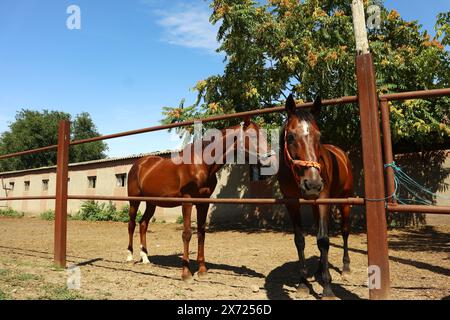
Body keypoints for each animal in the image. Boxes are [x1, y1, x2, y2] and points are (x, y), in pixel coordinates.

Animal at [125, 119, 268, 280]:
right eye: (253, 136)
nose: (269, 156)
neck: (201, 164)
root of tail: (139, 164)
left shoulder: (203, 203)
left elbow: (201, 233)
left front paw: (202, 270)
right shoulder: (187, 201)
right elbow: (187, 234)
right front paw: (186, 273)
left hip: (151, 203)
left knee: (143, 224)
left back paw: (145, 258)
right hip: (134, 201)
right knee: (131, 224)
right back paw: (130, 257)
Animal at [278, 94, 356, 298]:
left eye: (319, 136)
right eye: (290, 136)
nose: (313, 184)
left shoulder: (323, 201)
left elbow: (323, 240)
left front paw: (328, 289)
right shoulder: (292, 203)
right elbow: (300, 240)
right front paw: (303, 283)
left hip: (344, 201)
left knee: (344, 231)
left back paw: (345, 267)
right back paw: (320, 269)